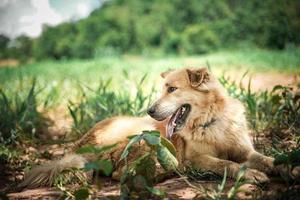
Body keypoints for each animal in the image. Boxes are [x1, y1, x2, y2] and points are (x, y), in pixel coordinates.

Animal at [17, 67, 292, 189]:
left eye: (172, 89)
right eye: (163, 89)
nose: (149, 110)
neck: (210, 121)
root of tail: (82, 142)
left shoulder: (245, 150)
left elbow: (269, 159)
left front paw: (289, 168)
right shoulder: (197, 159)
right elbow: (227, 164)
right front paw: (251, 174)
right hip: (145, 137)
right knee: (122, 173)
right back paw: (163, 173)